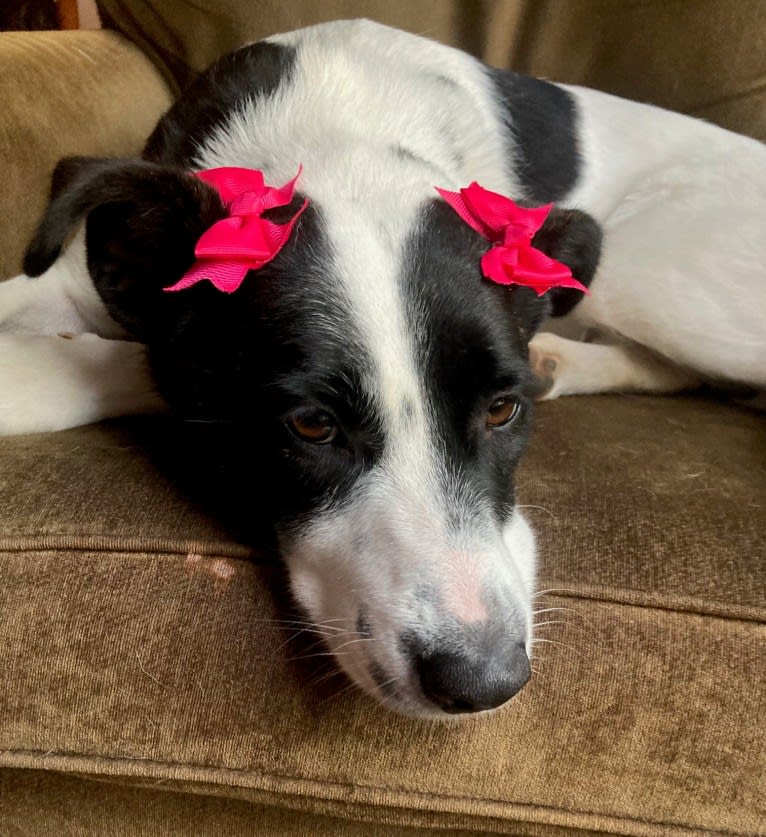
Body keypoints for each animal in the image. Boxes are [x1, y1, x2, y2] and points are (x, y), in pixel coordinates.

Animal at [1, 16, 766, 716]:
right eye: (312, 424)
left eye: (502, 409)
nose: (484, 683)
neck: (340, 139)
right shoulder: (67, 280)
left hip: (639, 267)